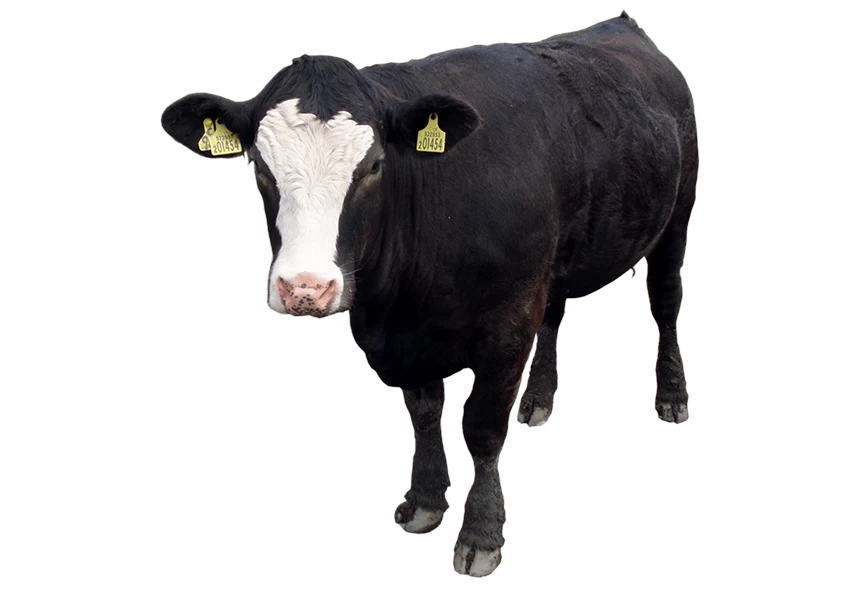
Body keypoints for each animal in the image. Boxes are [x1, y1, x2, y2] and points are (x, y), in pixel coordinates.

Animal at [160, 11, 698, 577]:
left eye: (374, 166)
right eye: (258, 168)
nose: (305, 287)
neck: (399, 304)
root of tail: (620, 25)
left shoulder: (508, 321)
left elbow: (481, 427)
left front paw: (480, 535)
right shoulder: (409, 336)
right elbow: (423, 413)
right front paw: (424, 502)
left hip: (678, 215)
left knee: (665, 304)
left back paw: (671, 396)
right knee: (556, 313)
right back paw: (538, 399)